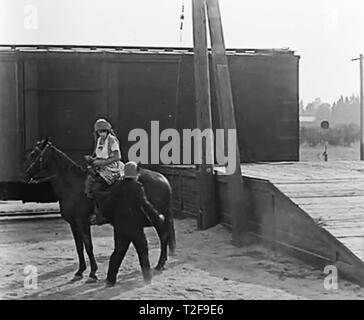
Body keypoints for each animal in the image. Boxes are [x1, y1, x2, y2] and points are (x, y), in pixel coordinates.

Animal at [22, 138, 176, 282]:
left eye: (34, 153)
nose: (24, 175)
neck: (73, 186)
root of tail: (163, 179)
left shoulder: (83, 223)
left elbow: (88, 247)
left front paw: (92, 273)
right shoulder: (73, 224)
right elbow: (79, 247)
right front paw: (80, 271)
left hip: (153, 218)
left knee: (163, 236)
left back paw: (160, 264)